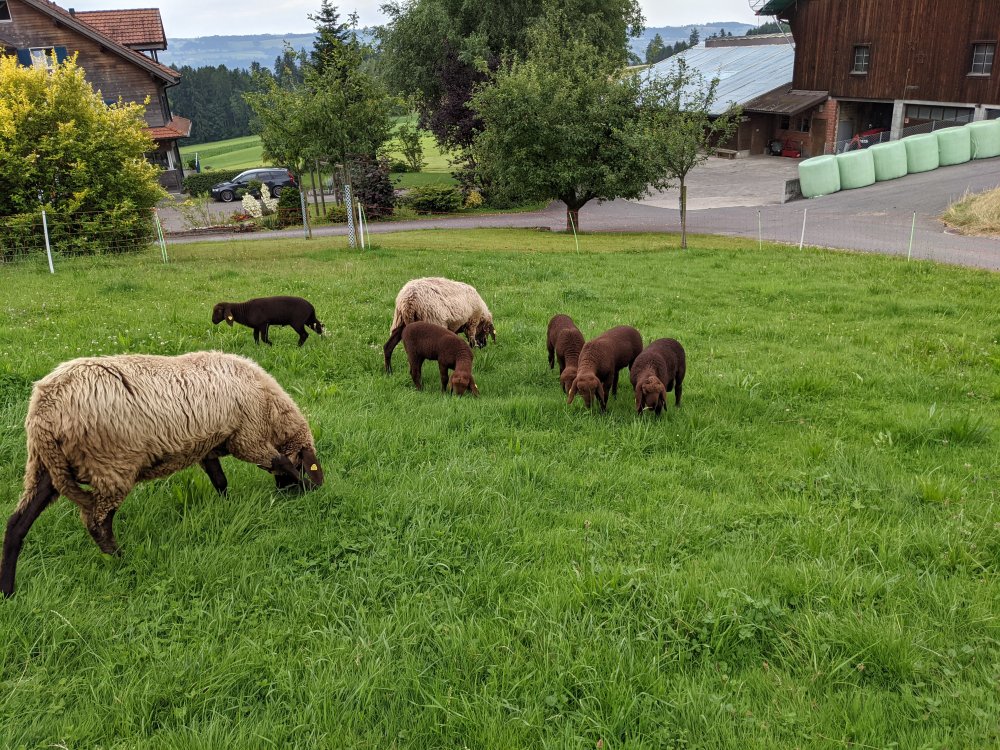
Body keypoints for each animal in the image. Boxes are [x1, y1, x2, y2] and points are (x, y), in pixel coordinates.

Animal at [0, 352, 323, 598]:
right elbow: (280, 462)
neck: (269, 408)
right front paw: (303, 485)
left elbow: (220, 480)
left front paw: (227, 506)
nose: (285, 495)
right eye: (305, 464)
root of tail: (44, 411)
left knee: (17, 524)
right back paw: (121, 560)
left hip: (45, 468)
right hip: (111, 467)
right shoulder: (248, 438)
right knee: (97, 522)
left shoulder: (208, 446)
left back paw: (8, 590)